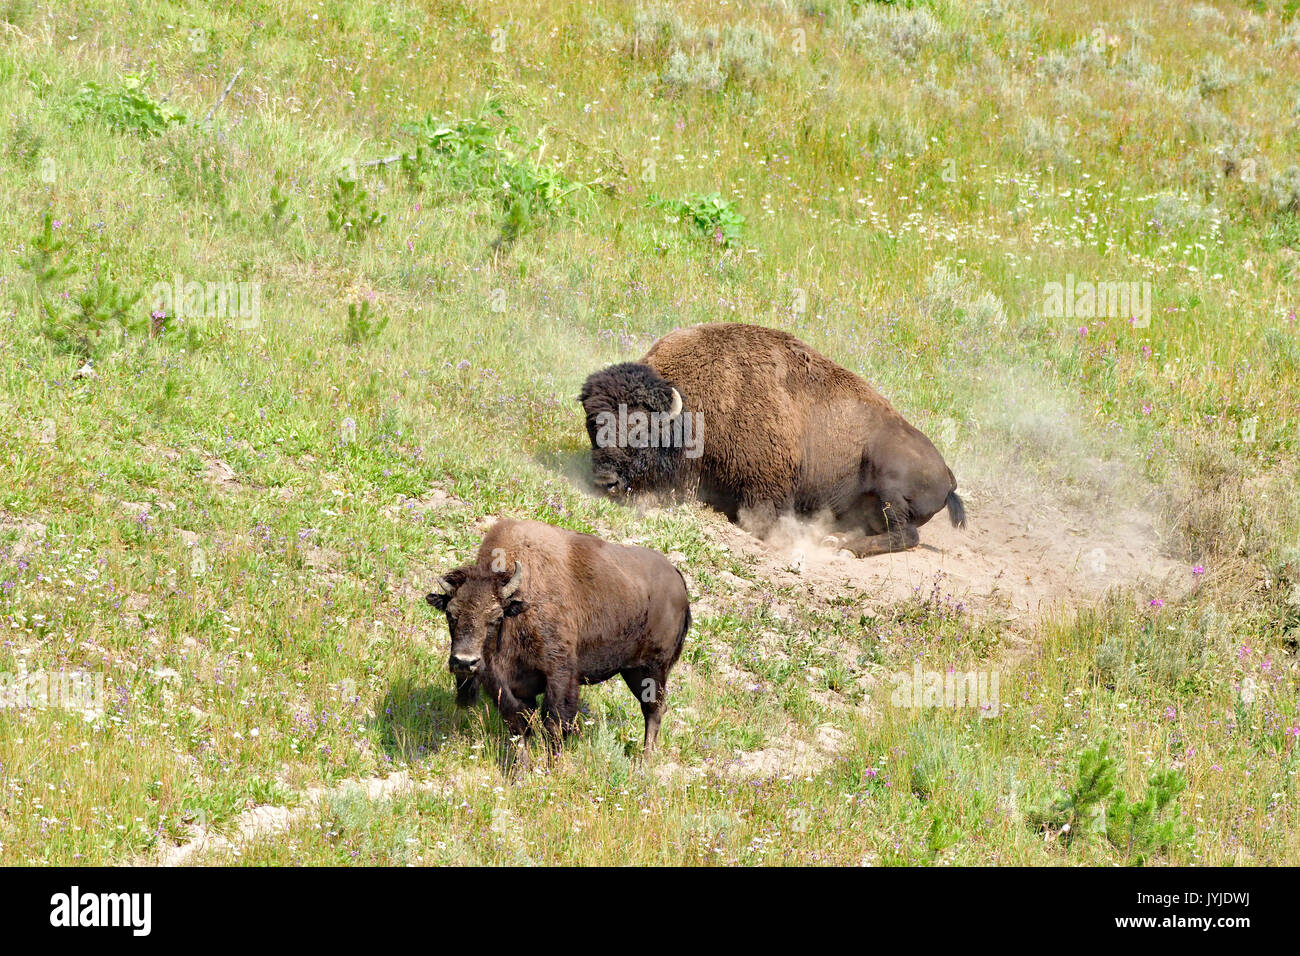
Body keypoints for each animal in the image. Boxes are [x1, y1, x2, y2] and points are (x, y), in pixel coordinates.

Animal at [423, 520, 691, 759]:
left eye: (496, 617)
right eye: (450, 614)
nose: (464, 662)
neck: (518, 610)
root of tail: (677, 578)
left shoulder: (559, 676)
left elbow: (554, 725)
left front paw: (553, 766)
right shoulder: (507, 688)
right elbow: (519, 728)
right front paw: (521, 771)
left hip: (653, 668)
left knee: (653, 710)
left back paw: (645, 762)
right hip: (632, 669)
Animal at [579, 323, 967, 554]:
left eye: (640, 428)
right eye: (593, 425)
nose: (604, 480)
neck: (692, 407)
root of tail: (949, 475)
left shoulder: (766, 486)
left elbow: (759, 518)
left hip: (890, 482)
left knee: (906, 535)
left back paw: (839, 543)